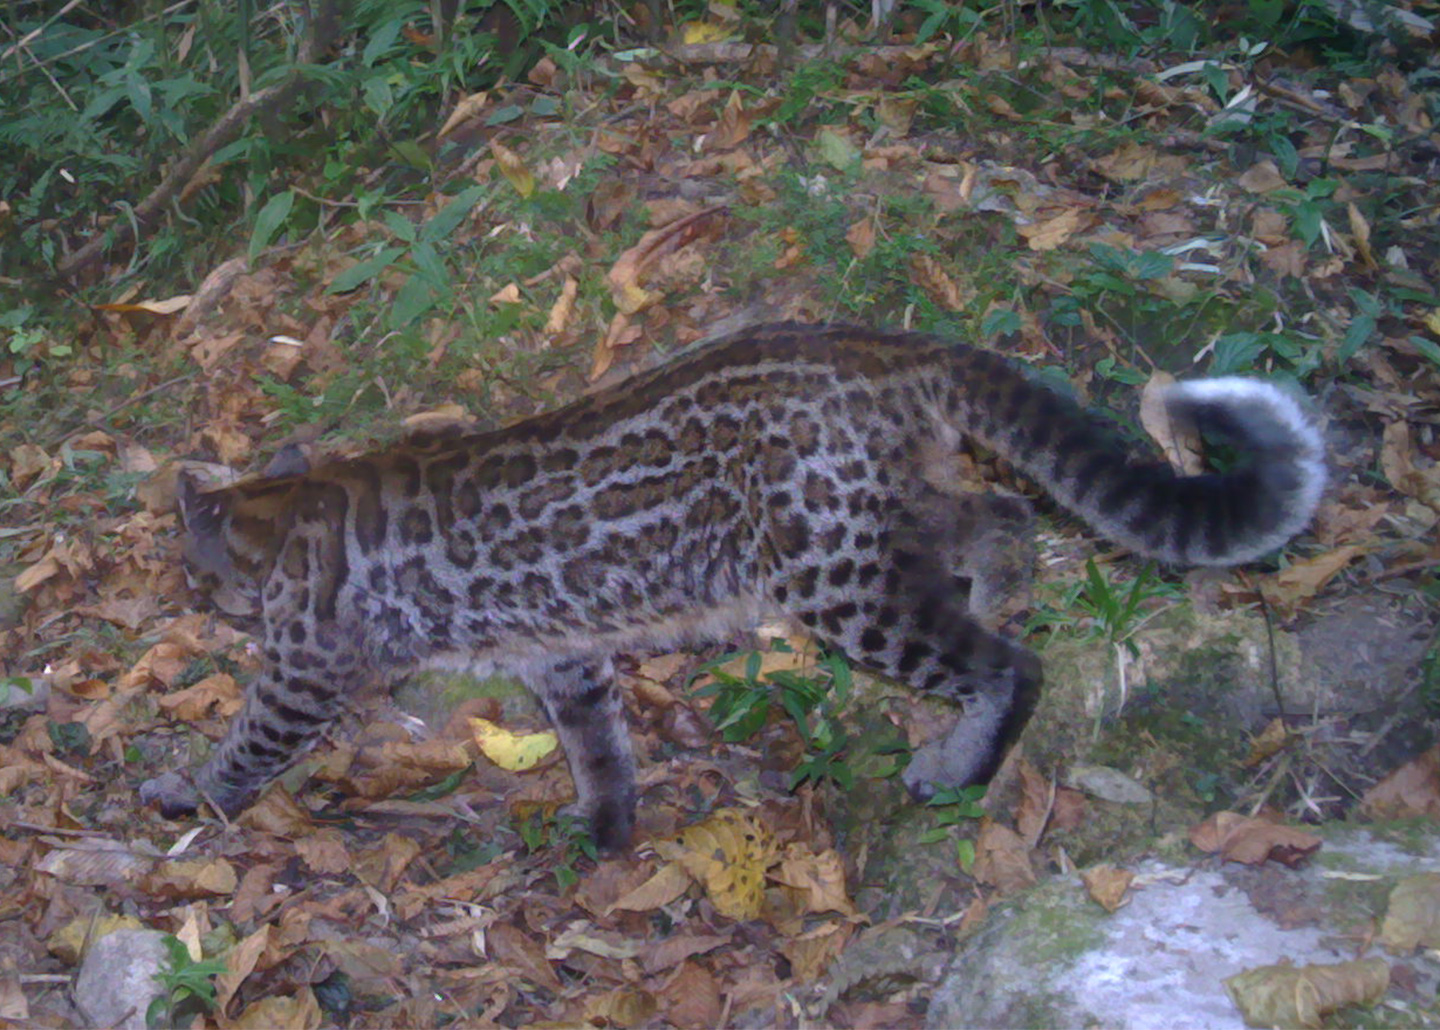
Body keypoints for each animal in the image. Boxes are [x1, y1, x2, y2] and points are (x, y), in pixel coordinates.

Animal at [146, 322, 1324, 847]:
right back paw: (1006, 593)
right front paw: (607, 825)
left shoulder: (304, 670)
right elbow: (598, 743)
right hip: (883, 520)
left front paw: (184, 791)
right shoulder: (563, 655)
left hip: (836, 576)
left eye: (190, 569)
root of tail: (881, 345)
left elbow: (248, 741)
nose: (193, 597)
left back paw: (957, 760)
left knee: (1006, 666)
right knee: (1006, 514)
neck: (284, 513)